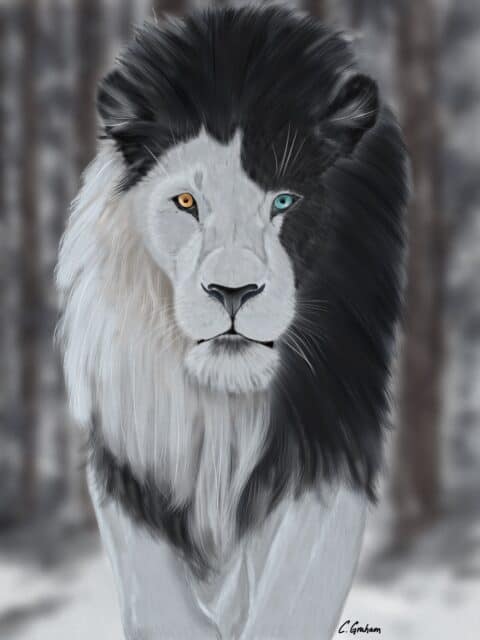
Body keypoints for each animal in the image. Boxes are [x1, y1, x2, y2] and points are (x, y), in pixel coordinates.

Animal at [55, 6, 408, 639]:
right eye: (186, 202)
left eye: (285, 202)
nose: (233, 292)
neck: (223, 404)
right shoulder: (127, 468)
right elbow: (160, 604)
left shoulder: (331, 442)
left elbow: (293, 601)